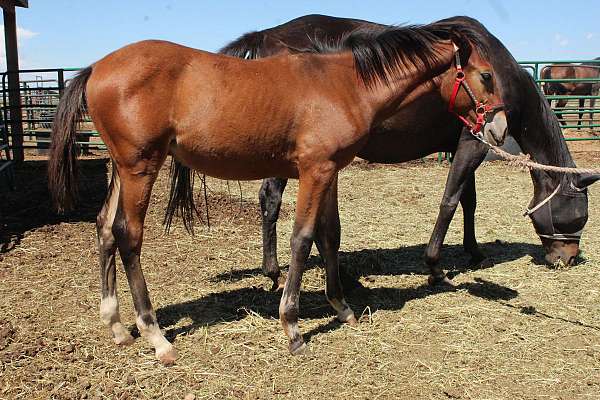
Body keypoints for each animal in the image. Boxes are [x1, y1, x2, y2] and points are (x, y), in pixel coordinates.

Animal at [47, 22, 508, 366]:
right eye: (486, 76)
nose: (500, 130)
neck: (343, 85)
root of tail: (95, 68)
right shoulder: (313, 171)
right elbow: (301, 240)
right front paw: (292, 327)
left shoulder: (330, 171)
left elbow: (330, 235)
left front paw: (342, 308)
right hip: (141, 167)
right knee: (128, 236)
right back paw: (156, 336)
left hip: (122, 168)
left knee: (104, 229)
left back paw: (117, 327)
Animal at [211, 14, 600, 290]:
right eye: (580, 214)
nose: (568, 258)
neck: (503, 76)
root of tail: (265, 35)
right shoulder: (473, 142)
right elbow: (450, 200)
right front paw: (435, 265)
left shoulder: (464, 145)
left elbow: (469, 201)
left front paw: (473, 250)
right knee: (271, 198)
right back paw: (277, 272)